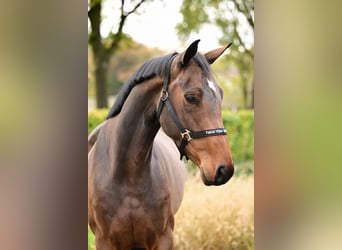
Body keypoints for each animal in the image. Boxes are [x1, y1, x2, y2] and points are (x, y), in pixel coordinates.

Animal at [87, 40, 234, 249]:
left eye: (220, 95)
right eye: (191, 97)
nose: (224, 169)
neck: (127, 176)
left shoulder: (164, 238)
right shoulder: (104, 241)